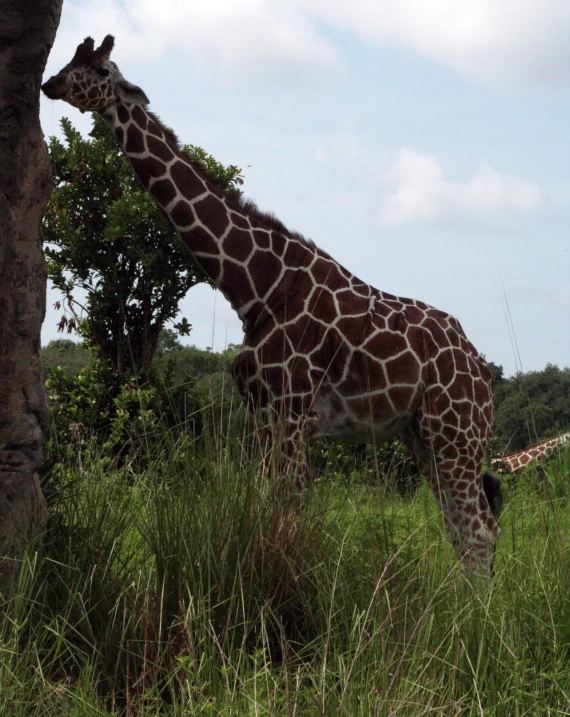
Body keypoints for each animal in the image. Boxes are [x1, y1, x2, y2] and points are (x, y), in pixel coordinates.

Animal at [42, 35, 500, 572]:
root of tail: (481, 368)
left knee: (480, 529)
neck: (254, 287)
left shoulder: (291, 412)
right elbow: (272, 509)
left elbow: (289, 510)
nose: (51, 84)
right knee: (459, 527)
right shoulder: (264, 414)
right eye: (72, 57)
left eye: (98, 69)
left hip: (457, 430)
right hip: (422, 433)